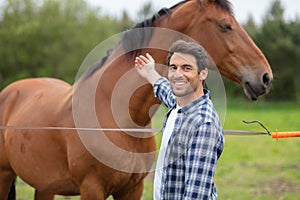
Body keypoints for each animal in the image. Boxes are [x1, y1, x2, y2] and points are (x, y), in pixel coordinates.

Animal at [0, 0, 274, 199]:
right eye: (225, 26)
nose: (265, 77)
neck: (120, 116)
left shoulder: (132, 189)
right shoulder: (92, 189)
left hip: (44, 185)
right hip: (5, 176)